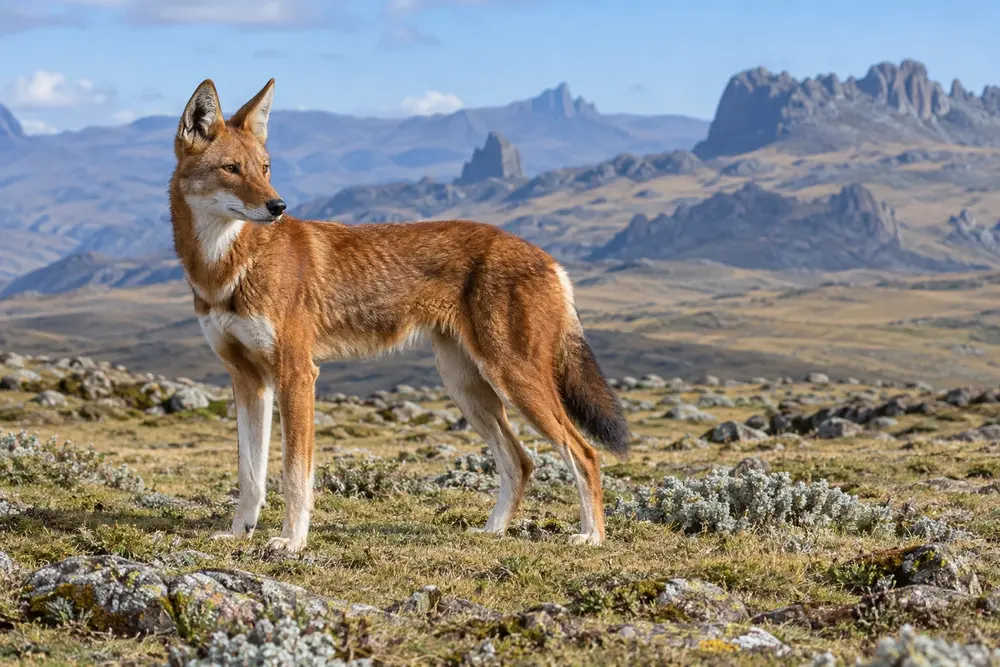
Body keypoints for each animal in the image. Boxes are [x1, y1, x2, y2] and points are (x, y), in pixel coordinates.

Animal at [168, 78, 630, 552]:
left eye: (265, 168)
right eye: (232, 169)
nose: (278, 206)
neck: (228, 268)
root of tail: (550, 260)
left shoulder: (297, 374)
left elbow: (295, 474)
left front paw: (292, 542)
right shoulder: (248, 381)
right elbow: (250, 475)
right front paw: (238, 532)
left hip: (515, 382)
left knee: (585, 453)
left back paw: (591, 536)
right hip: (467, 388)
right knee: (520, 462)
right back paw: (494, 531)